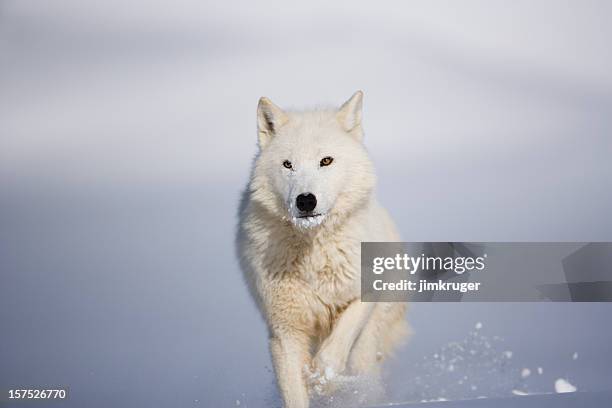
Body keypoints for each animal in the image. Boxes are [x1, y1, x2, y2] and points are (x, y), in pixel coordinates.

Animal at [237, 92, 408, 408]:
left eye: (325, 161)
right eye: (287, 164)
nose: (305, 200)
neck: (313, 254)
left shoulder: (364, 293)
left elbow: (336, 345)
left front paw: (322, 379)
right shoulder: (284, 332)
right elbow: (294, 393)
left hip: (366, 348)